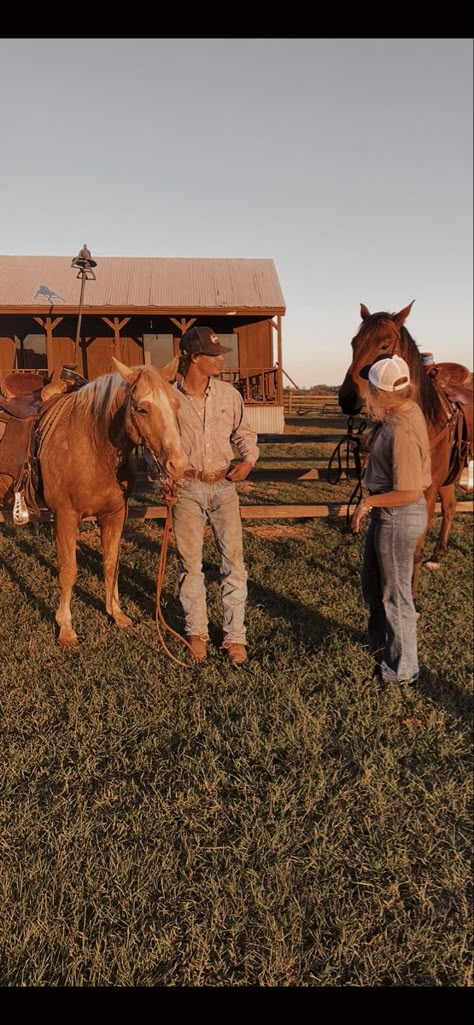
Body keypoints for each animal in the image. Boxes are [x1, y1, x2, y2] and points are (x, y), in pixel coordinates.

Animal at [33, 358, 186, 647]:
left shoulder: (115, 514)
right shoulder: (65, 516)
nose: (178, 465)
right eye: (141, 409)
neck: (91, 447)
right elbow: (68, 570)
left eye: (176, 405)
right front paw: (66, 629)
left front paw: (116, 613)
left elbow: (111, 563)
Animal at [338, 299, 471, 598]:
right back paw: (437, 556)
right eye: (353, 342)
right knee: (451, 507)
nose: (348, 398)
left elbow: (415, 544)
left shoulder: (427, 488)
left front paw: (411, 592)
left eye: (385, 345)